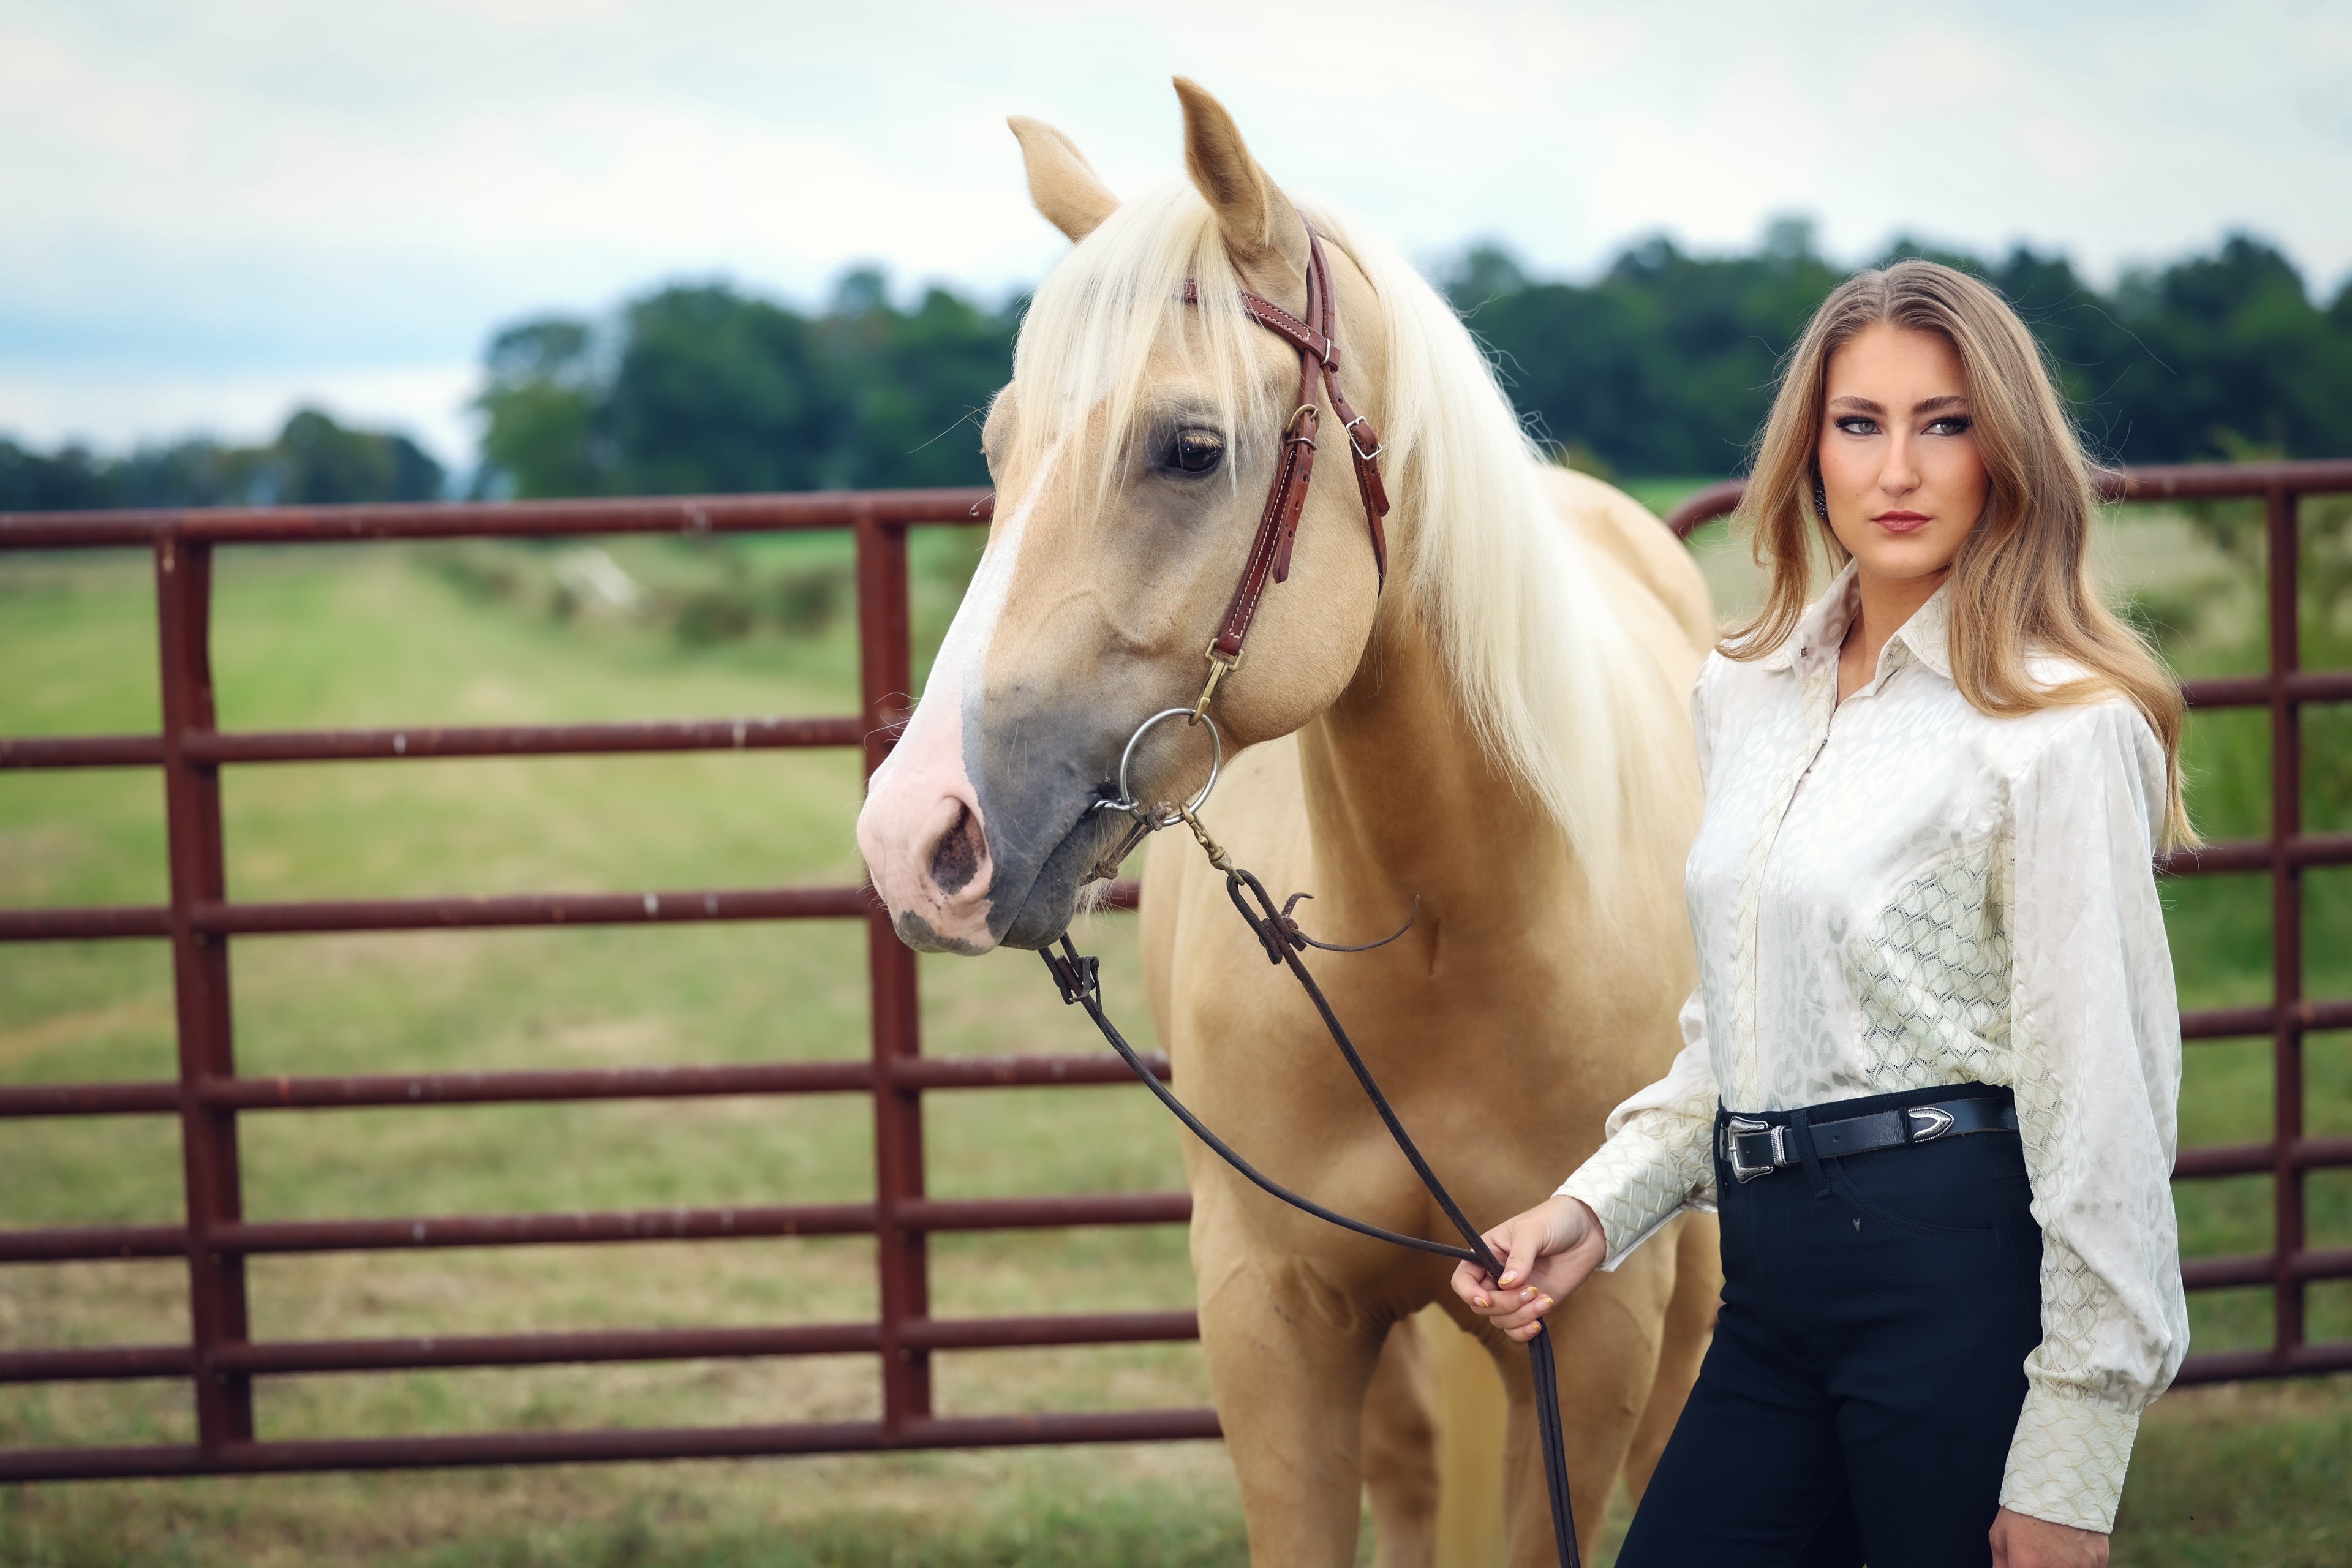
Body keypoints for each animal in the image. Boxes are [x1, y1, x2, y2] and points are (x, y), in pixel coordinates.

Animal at [856, 83, 1721, 1568]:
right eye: (1000, 451)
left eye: (1190, 448)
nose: (916, 837)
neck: (1443, 927)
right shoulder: (1272, 1310)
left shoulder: (1594, 1322)